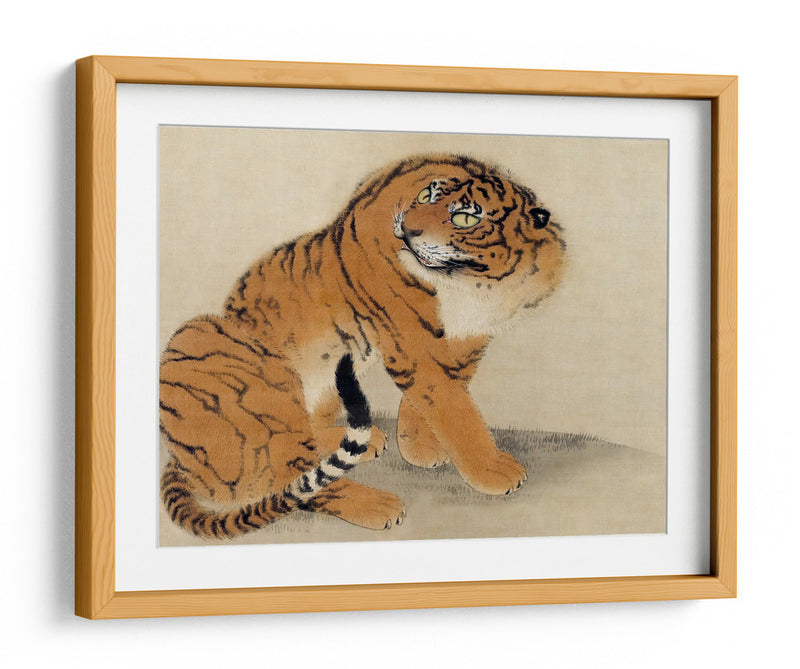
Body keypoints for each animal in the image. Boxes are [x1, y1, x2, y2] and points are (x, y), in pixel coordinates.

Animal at [159, 154, 565, 540]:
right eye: (425, 197)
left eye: (464, 218)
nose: (407, 230)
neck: (476, 284)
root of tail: (180, 460)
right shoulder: (413, 343)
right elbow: (454, 409)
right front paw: (493, 470)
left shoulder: (468, 339)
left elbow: (441, 397)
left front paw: (419, 447)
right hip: (235, 364)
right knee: (291, 481)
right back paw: (378, 505)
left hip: (322, 389)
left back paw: (366, 441)